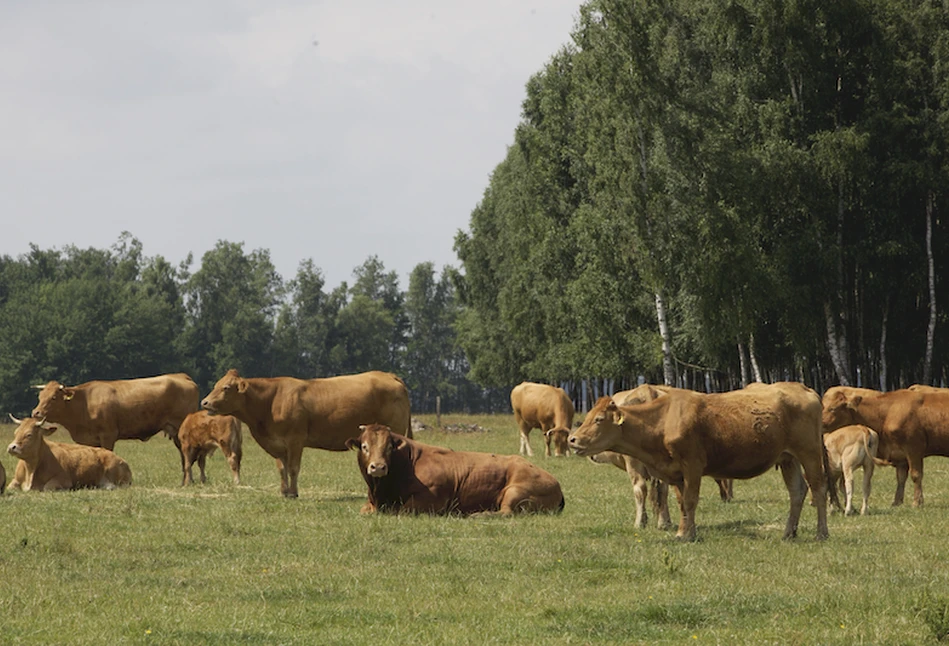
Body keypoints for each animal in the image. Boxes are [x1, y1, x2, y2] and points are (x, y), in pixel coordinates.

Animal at [30, 374, 199, 486]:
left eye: (53, 397)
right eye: (40, 396)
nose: (36, 412)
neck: (84, 403)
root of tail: (182, 376)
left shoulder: (108, 435)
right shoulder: (90, 440)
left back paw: (188, 481)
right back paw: (185, 481)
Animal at [204, 370, 412, 502]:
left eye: (226, 388)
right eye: (216, 385)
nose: (205, 402)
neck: (270, 402)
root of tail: (388, 375)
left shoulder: (295, 440)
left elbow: (293, 468)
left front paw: (293, 493)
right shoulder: (278, 444)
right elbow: (282, 468)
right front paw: (284, 492)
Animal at [344, 426, 564, 516]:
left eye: (389, 447)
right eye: (364, 446)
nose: (378, 467)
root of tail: (556, 484)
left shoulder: (431, 500)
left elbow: (401, 510)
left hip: (515, 491)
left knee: (507, 513)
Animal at [568, 384, 824, 540]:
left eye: (599, 419)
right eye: (588, 416)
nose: (572, 439)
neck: (663, 419)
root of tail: (805, 389)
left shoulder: (692, 466)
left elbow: (690, 500)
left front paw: (683, 534)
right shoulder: (676, 474)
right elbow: (682, 502)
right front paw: (688, 530)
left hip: (810, 454)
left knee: (818, 489)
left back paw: (822, 533)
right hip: (788, 458)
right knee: (797, 491)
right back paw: (788, 533)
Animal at [820, 388, 949, 508]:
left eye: (832, 409)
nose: (819, 423)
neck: (887, 413)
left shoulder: (914, 448)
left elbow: (916, 475)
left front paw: (917, 502)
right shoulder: (900, 455)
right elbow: (901, 478)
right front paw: (897, 502)